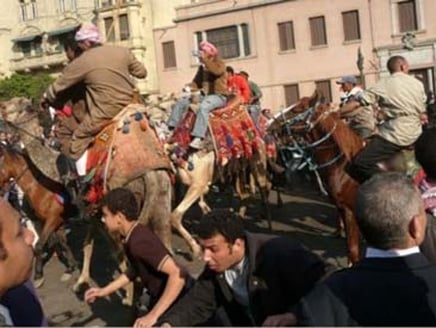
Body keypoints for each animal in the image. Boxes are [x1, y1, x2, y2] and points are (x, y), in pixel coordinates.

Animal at [0, 144, 76, 288]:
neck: (41, 189)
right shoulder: (53, 222)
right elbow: (62, 243)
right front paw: (70, 268)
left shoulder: (52, 220)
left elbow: (40, 245)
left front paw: (38, 275)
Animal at [270, 90, 362, 264]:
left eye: (297, 109)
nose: (270, 125)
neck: (343, 165)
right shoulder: (341, 207)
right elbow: (349, 248)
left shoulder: (350, 211)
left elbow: (354, 251)